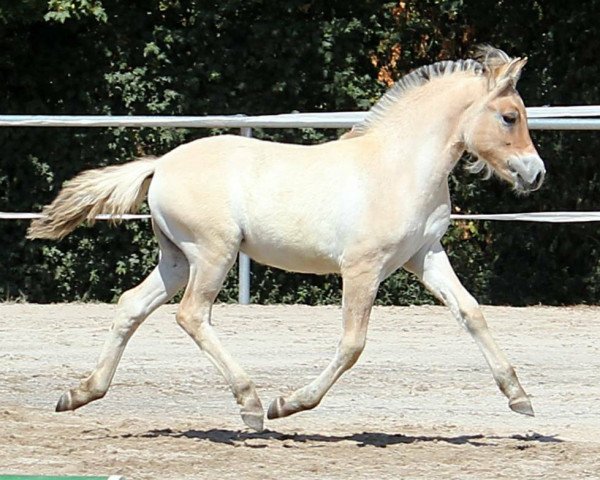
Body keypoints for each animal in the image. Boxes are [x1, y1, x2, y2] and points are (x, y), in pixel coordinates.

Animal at [28, 47, 544, 432]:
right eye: (509, 117)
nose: (535, 174)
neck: (398, 167)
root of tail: (161, 166)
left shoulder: (425, 256)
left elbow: (471, 313)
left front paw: (519, 398)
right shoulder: (362, 268)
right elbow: (352, 344)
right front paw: (289, 404)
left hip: (177, 259)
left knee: (131, 305)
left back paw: (79, 393)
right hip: (213, 253)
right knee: (192, 315)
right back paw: (252, 405)